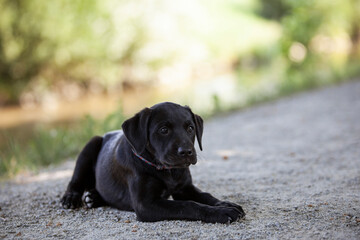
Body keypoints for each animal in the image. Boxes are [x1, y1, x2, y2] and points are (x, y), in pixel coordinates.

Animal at [61, 101, 245, 223]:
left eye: (190, 128)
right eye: (163, 130)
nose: (186, 152)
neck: (168, 171)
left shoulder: (185, 188)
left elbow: (205, 196)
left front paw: (226, 204)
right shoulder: (146, 205)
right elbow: (189, 205)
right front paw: (222, 213)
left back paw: (93, 197)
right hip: (90, 145)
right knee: (75, 181)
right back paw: (71, 198)